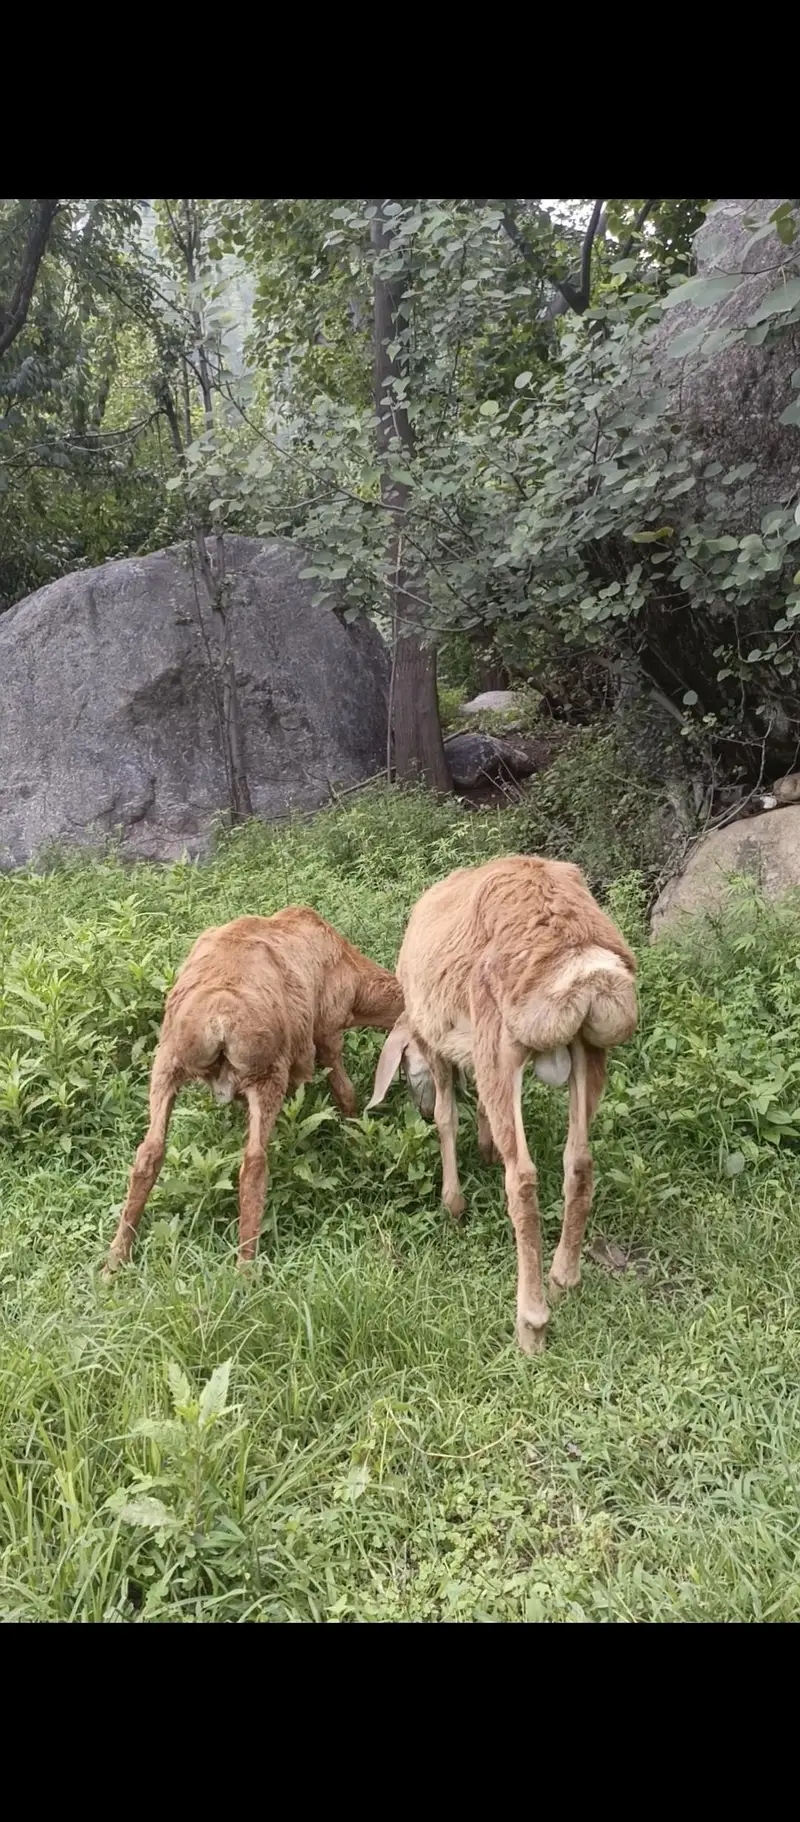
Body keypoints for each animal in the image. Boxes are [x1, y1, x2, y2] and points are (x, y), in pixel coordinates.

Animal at [104, 908, 404, 1276]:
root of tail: (218, 1021)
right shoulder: (327, 1032)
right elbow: (344, 1092)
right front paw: (357, 1133)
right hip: (266, 1074)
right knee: (254, 1164)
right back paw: (245, 1269)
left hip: (166, 1062)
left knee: (149, 1153)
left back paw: (114, 1261)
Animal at [367, 856, 638, 1356]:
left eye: (405, 1068)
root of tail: (580, 961)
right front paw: (487, 1146)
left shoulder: (436, 1043)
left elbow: (447, 1118)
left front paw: (452, 1203)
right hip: (588, 1050)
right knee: (579, 1162)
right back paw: (563, 1278)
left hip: (501, 1040)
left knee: (524, 1180)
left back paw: (531, 1323)